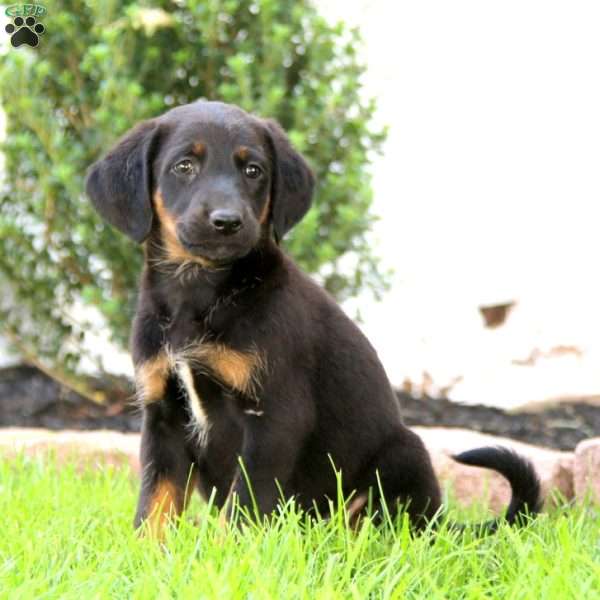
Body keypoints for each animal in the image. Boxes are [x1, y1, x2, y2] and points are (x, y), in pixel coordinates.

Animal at [85, 101, 544, 536]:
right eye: (184, 166)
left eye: (253, 170)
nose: (227, 222)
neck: (199, 293)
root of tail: (441, 522)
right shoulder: (162, 413)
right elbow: (155, 503)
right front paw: (147, 553)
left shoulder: (274, 415)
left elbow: (243, 505)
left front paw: (225, 552)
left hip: (403, 453)